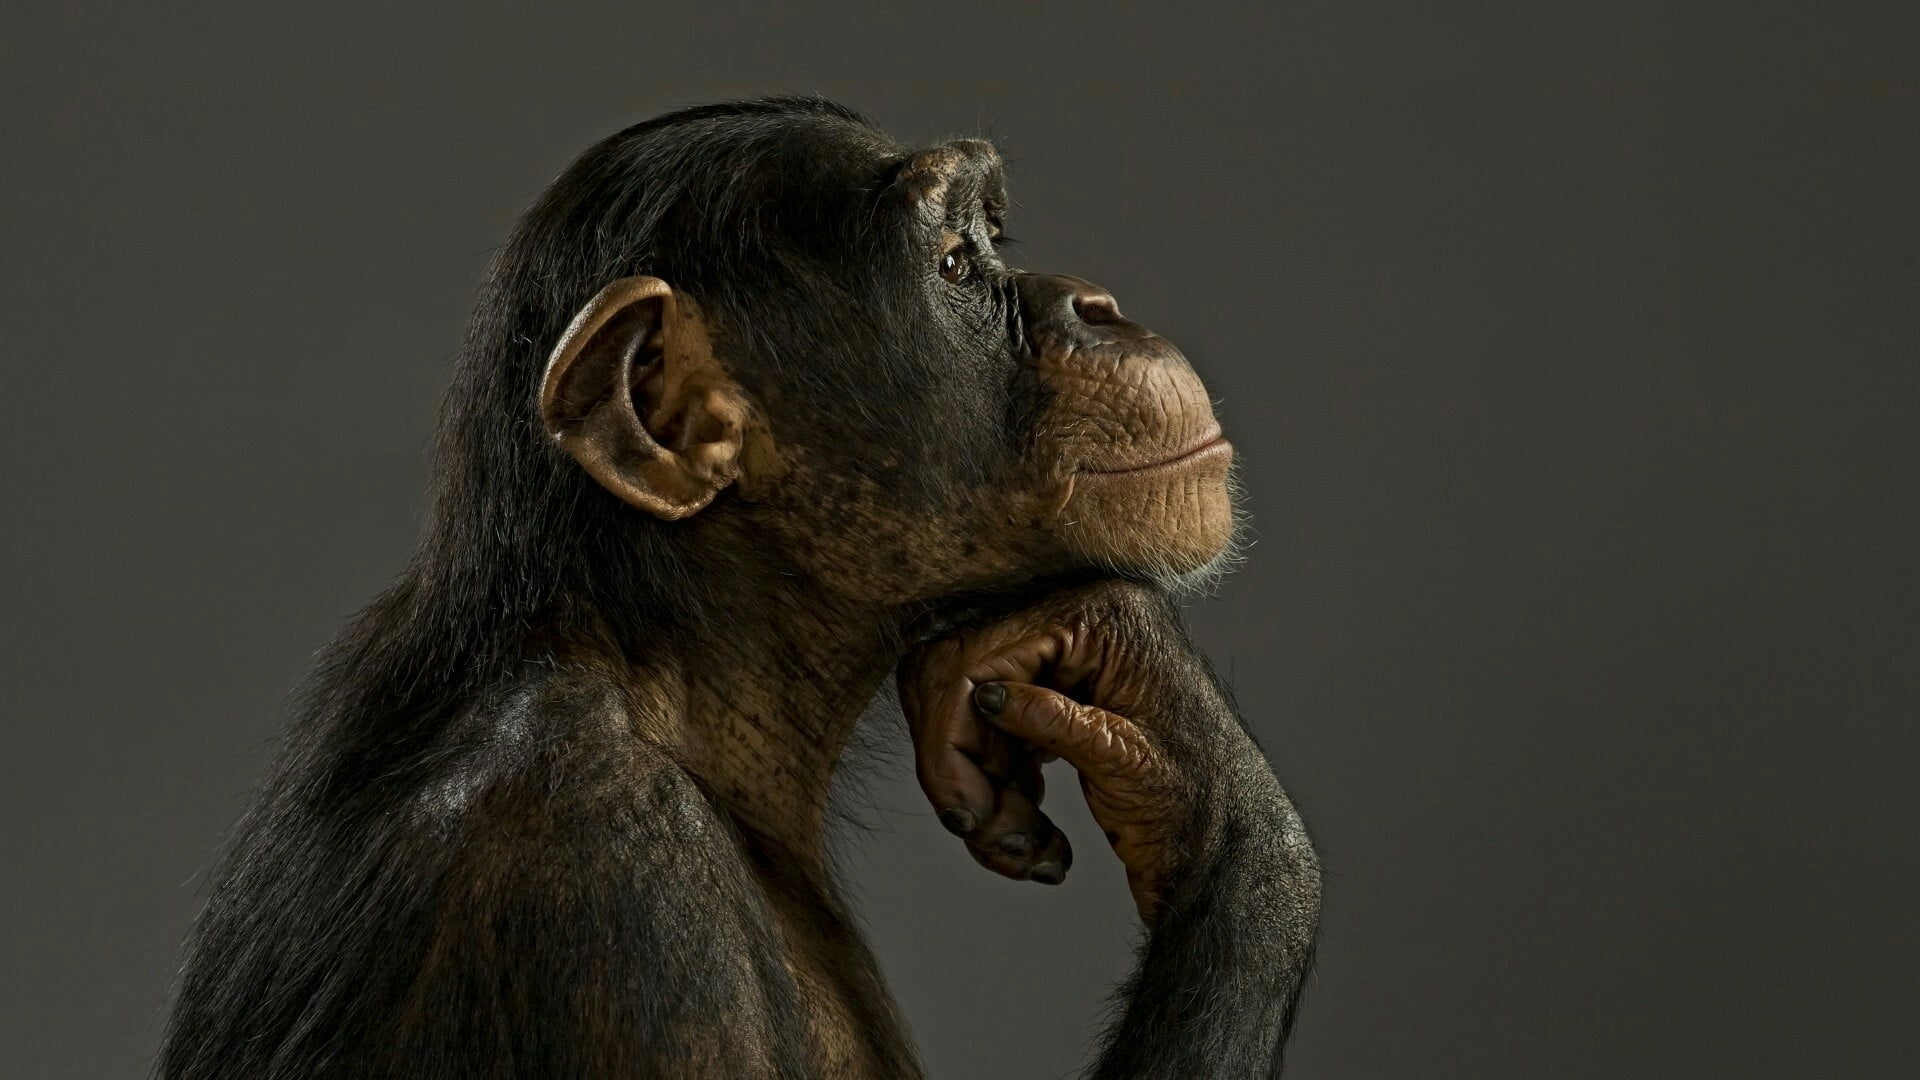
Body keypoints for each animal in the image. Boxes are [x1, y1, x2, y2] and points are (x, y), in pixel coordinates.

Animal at [158, 95, 1319, 1079]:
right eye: (954, 264)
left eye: (994, 240)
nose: (1098, 305)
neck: (664, 670)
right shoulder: (609, 893)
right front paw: (1204, 768)